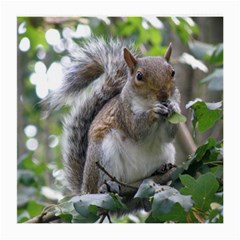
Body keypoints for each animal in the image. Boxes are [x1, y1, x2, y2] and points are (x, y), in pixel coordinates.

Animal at [44, 38, 181, 195]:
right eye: (139, 76)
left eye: (173, 72)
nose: (163, 95)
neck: (148, 103)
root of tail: (84, 189)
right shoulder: (124, 112)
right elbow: (137, 130)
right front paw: (154, 111)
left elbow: (169, 135)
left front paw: (174, 107)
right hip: (102, 153)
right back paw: (106, 186)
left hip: (168, 151)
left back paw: (161, 169)